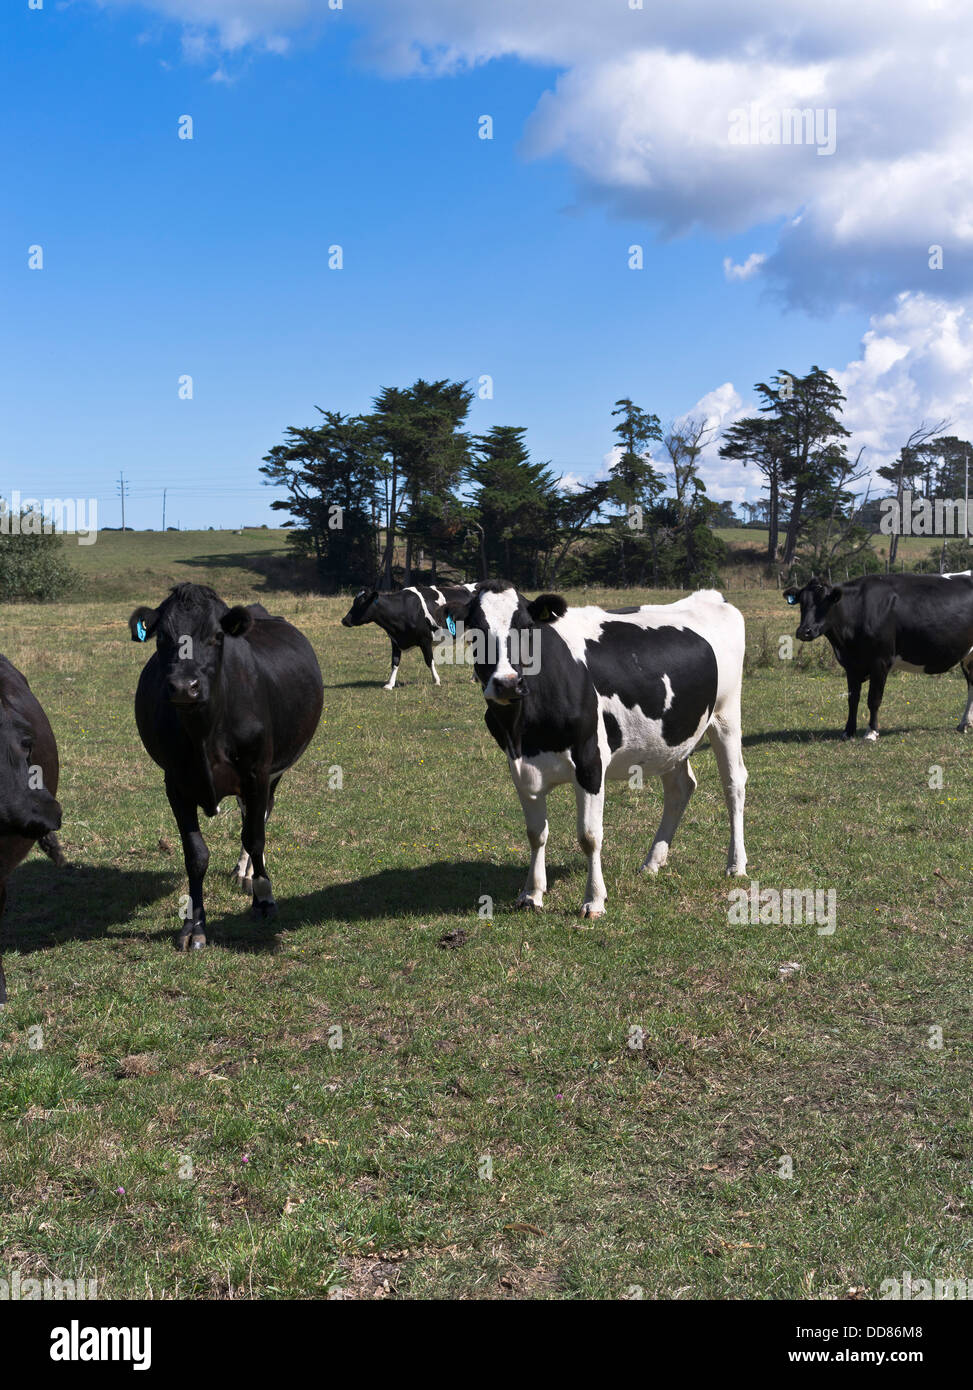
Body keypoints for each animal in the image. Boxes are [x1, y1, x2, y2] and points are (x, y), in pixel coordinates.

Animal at [129, 581, 322, 950]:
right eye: (162, 637)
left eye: (216, 636)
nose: (184, 687)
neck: (204, 731)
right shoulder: (175, 783)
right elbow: (195, 854)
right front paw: (193, 925)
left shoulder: (257, 772)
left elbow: (256, 837)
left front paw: (264, 899)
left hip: (273, 772)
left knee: (259, 817)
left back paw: (249, 874)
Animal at [340, 581, 478, 689]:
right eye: (354, 601)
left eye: (361, 603)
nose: (344, 620)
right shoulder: (395, 640)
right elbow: (395, 662)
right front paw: (390, 684)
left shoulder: (425, 640)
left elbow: (429, 660)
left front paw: (436, 680)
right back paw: (474, 678)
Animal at [444, 581, 750, 917]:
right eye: (475, 630)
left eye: (526, 626)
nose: (508, 683)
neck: (525, 729)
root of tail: (711, 596)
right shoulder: (520, 766)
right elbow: (536, 833)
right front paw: (531, 894)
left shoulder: (590, 762)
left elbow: (589, 837)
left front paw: (594, 900)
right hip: (672, 736)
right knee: (680, 788)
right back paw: (653, 862)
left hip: (726, 715)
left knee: (734, 784)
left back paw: (736, 864)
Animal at [783, 569, 973, 739]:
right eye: (802, 603)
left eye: (825, 602)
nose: (804, 631)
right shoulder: (851, 665)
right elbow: (853, 699)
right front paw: (848, 732)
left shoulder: (880, 661)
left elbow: (873, 699)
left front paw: (872, 732)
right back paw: (964, 724)